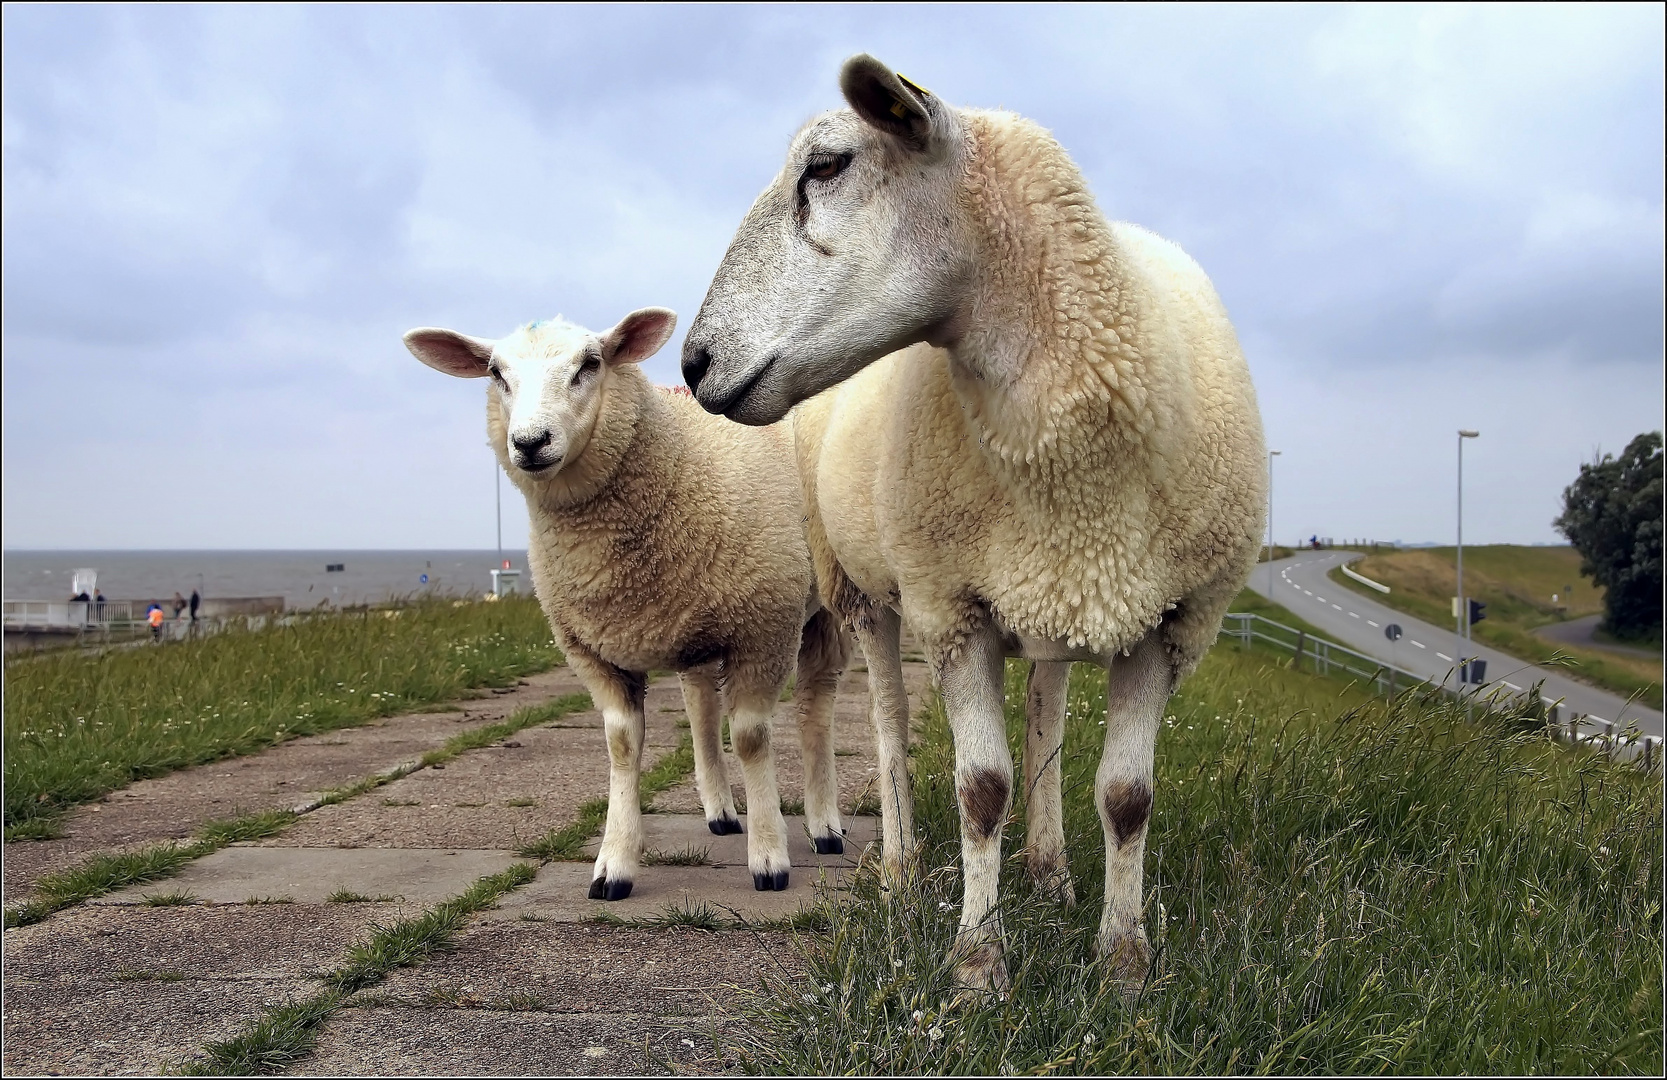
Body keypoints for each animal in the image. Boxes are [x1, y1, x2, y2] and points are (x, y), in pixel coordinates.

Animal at [400, 308, 846, 900]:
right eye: (496, 374)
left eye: (590, 364)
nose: (530, 442)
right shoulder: (594, 651)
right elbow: (621, 744)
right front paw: (614, 863)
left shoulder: (764, 627)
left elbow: (752, 738)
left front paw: (769, 858)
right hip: (694, 625)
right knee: (700, 704)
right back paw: (721, 811)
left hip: (826, 607)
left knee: (816, 705)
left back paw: (824, 825)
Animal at [676, 52, 1260, 993]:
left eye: (827, 165)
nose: (693, 363)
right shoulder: (952, 611)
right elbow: (980, 786)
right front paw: (978, 963)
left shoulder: (1175, 621)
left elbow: (1126, 797)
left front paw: (1123, 961)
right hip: (860, 588)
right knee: (886, 719)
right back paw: (904, 868)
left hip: (1051, 590)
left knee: (1047, 716)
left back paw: (1049, 870)